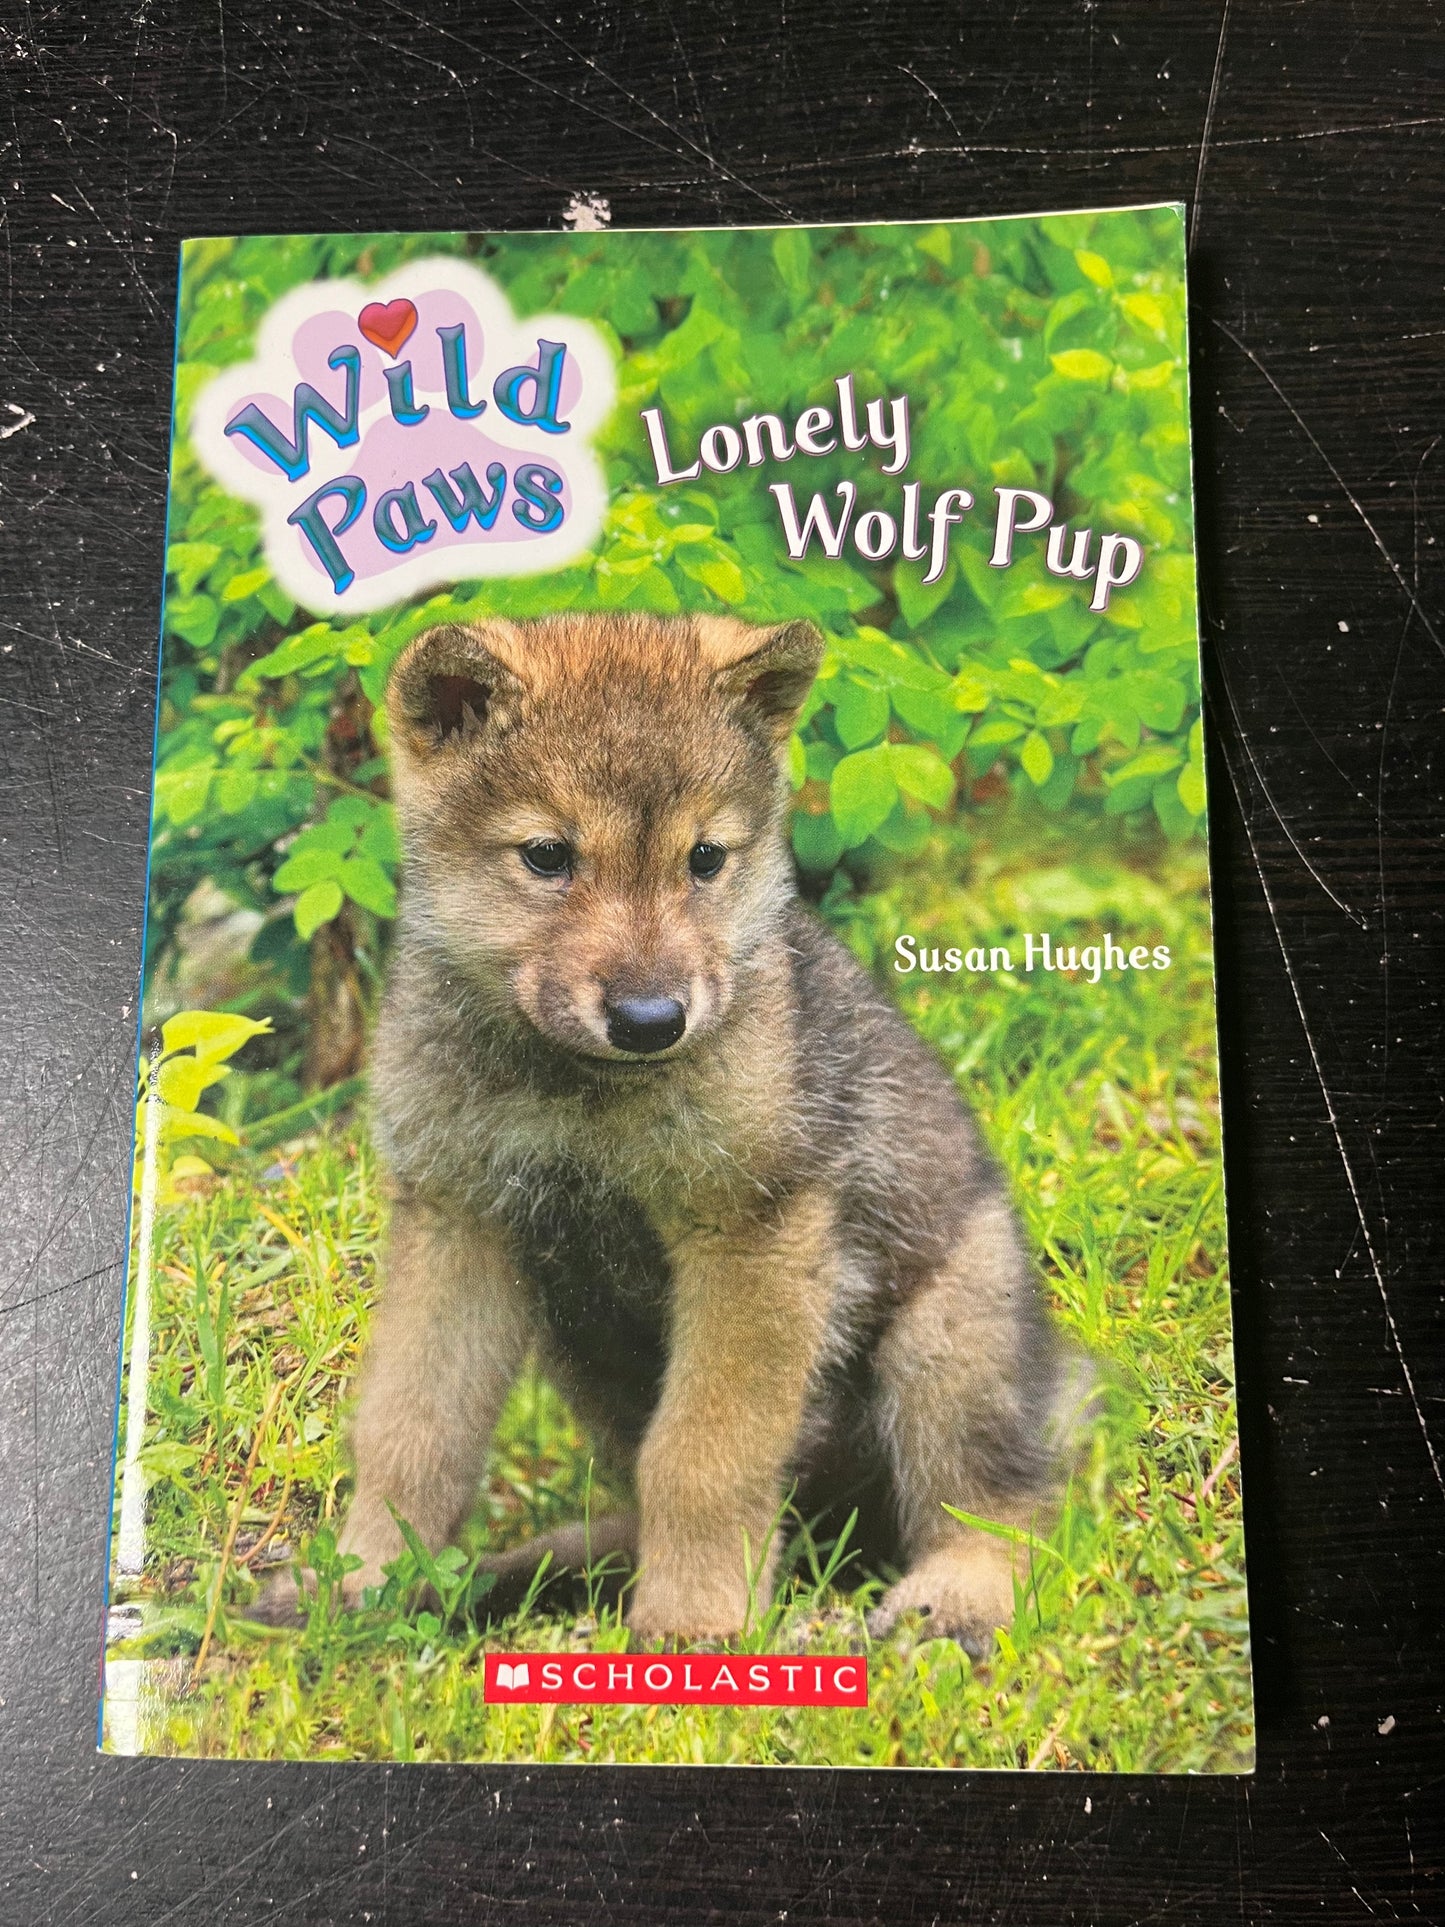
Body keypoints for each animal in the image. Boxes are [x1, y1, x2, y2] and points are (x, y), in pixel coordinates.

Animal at [258, 610, 1085, 1648]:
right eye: (546, 855)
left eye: (704, 858)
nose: (652, 1020)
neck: (578, 1092)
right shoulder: (459, 1220)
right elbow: (410, 1434)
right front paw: (362, 1581)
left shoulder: (750, 1234)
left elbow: (701, 1456)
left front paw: (696, 1623)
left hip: (949, 1339)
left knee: (1001, 1501)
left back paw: (957, 1596)